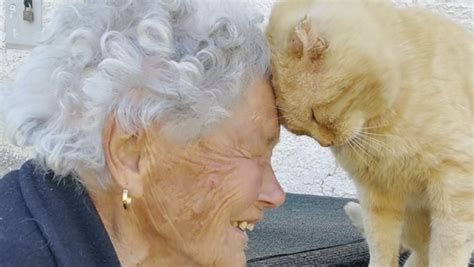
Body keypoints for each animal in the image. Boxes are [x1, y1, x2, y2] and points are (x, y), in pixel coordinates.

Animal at [266, 1, 474, 266]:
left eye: (315, 115)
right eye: (301, 132)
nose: (325, 143)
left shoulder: (456, 185)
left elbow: (448, 248)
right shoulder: (377, 193)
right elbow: (381, 244)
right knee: (419, 252)